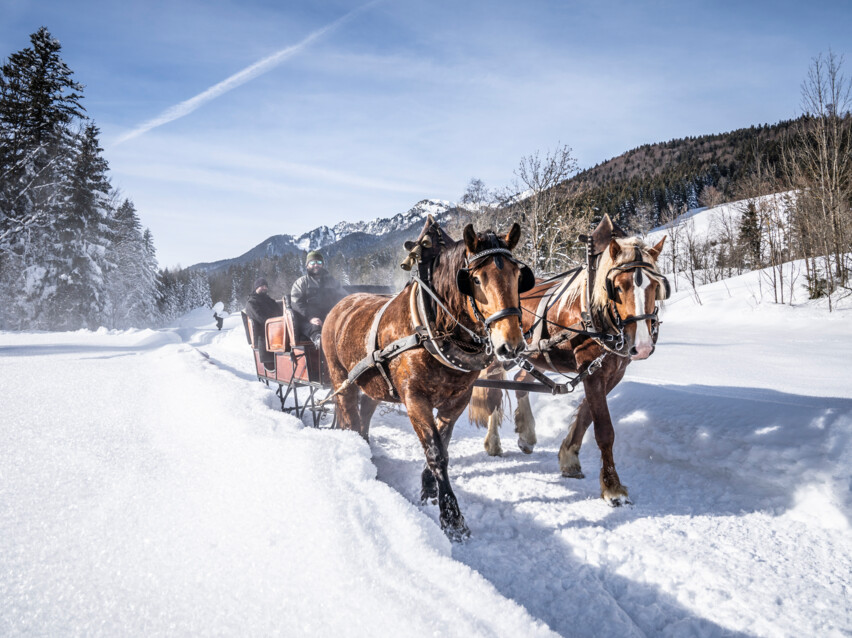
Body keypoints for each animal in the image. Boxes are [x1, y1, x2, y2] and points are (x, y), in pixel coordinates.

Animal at [322, 218, 528, 544]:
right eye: (476, 279)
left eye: (518, 276)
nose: (511, 345)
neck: (432, 327)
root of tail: (341, 303)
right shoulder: (414, 398)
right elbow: (435, 452)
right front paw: (452, 518)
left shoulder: (457, 399)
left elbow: (443, 444)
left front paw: (429, 488)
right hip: (341, 377)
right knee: (349, 414)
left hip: (372, 384)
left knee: (365, 413)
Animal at [470, 218, 668, 508]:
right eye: (618, 287)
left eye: (656, 286)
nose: (642, 346)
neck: (592, 312)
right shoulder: (591, 370)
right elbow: (604, 429)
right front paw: (613, 487)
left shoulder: (610, 372)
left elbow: (586, 415)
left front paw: (569, 457)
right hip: (498, 353)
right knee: (494, 391)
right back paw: (493, 442)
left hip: (533, 356)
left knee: (519, 382)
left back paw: (526, 434)